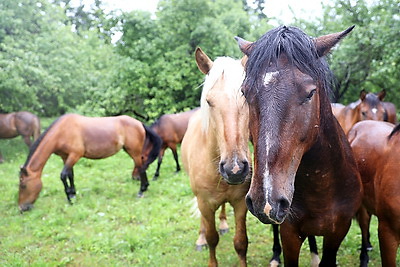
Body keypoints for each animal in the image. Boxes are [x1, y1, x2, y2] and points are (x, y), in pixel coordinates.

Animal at [17, 114, 161, 213]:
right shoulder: (66, 157)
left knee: (141, 167)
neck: (62, 131)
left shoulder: (75, 155)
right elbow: (70, 175)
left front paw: (70, 198)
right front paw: (73, 194)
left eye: (23, 185)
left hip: (134, 152)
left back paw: (141, 191)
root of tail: (139, 123)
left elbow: (63, 175)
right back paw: (145, 187)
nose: (22, 208)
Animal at [180, 47, 250, 266]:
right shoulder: (205, 204)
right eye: (209, 101)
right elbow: (212, 239)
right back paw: (200, 238)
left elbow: (241, 242)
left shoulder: (240, 203)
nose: (235, 169)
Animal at [236, 25, 364, 266]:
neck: (321, 186)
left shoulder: (338, 232)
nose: (265, 199)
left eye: (310, 92)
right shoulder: (290, 233)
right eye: (245, 93)